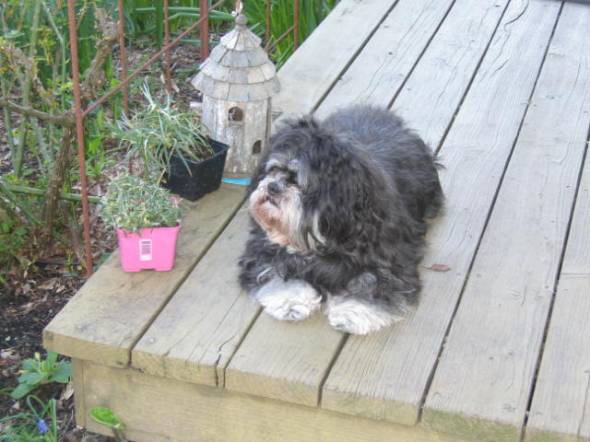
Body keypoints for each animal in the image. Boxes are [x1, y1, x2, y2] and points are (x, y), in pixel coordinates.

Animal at [238, 105, 443, 335]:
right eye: (273, 169)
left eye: (299, 182)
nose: (272, 187)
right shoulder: (264, 251)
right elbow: (279, 273)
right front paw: (290, 301)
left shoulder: (390, 263)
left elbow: (370, 284)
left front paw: (352, 312)